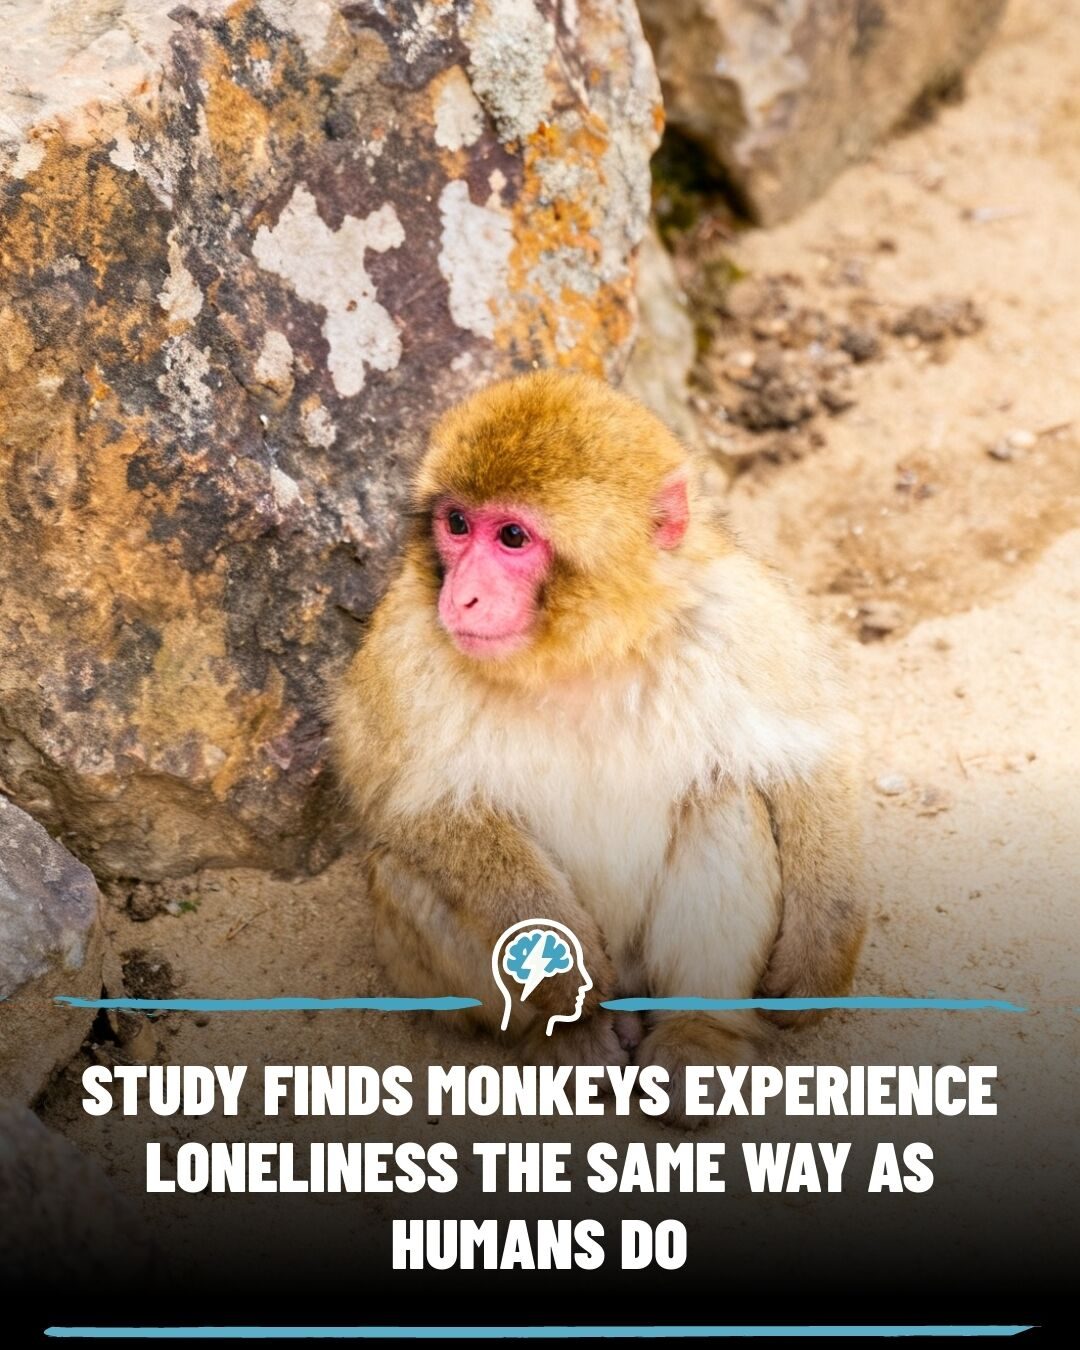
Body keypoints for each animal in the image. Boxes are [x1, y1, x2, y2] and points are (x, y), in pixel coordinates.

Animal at [331, 371, 864, 1112]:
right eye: (457, 524)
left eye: (513, 536)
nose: (460, 598)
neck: (582, 647)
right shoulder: (407, 643)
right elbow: (413, 810)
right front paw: (562, 973)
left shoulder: (740, 615)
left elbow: (807, 759)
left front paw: (822, 947)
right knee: (404, 868)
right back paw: (568, 1037)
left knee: (723, 800)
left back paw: (698, 1035)